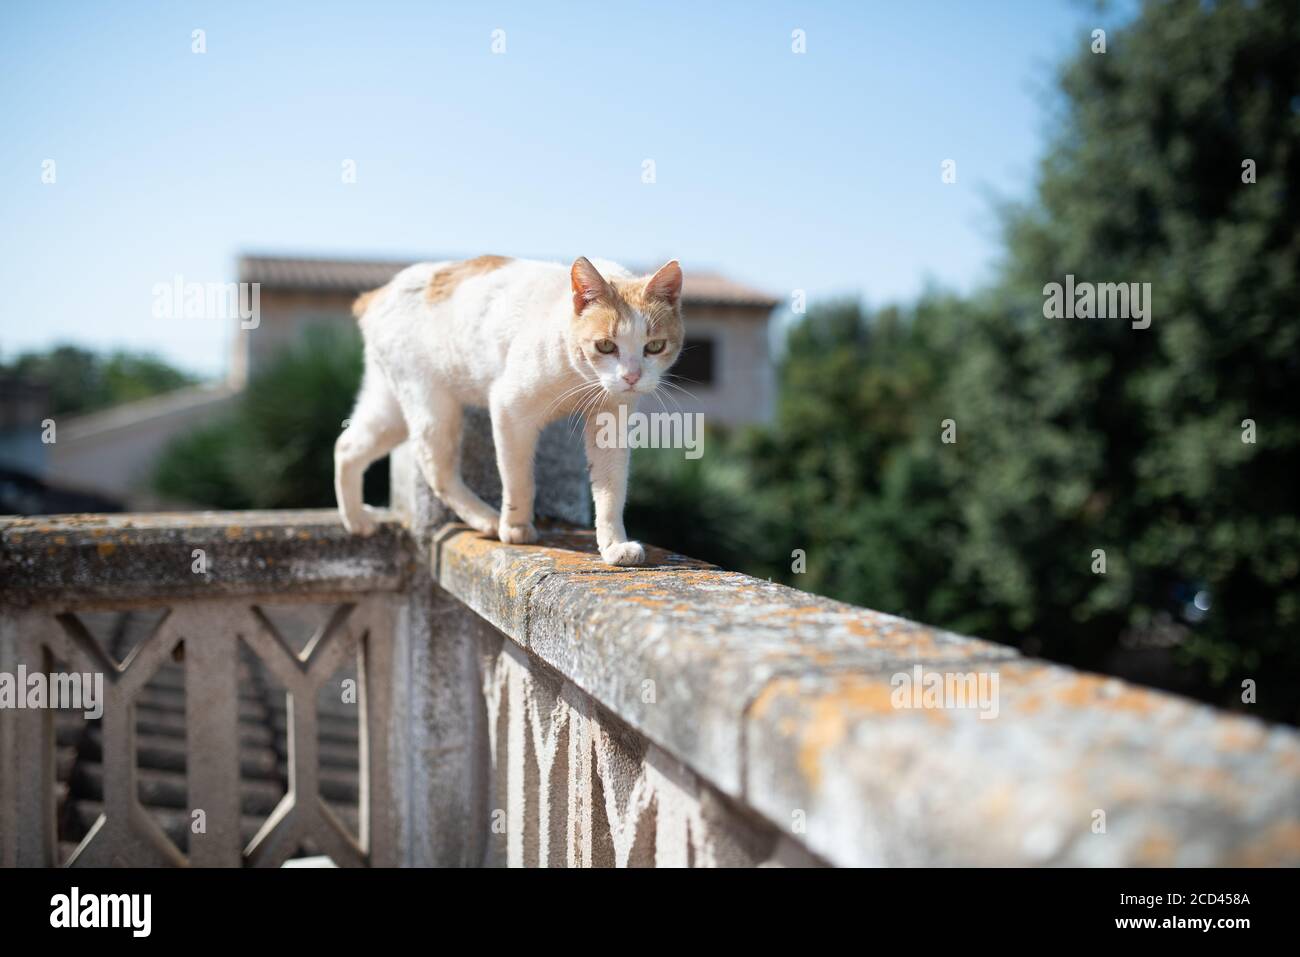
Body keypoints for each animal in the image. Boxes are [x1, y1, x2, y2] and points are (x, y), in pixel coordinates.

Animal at [330, 256, 686, 566]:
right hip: (431, 403)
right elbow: (518, 478)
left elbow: (611, 489)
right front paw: (515, 528)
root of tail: (377, 295)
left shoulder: (610, 420)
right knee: (436, 471)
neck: (579, 377)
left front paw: (613, 545)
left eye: (654, 347)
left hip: (389, 407)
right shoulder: (509, 409)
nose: (631, 377)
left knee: (346, 446)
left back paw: (356, 519)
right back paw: (486, 519)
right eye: (606, 346)